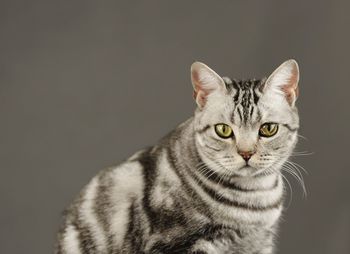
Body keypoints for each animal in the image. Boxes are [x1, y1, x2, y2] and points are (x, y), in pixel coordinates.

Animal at [55, 59, 300, 254]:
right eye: (223, 130)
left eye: (268, 129)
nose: (246, 153)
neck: (255, 199)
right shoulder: (179, 243)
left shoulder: (260, 244)